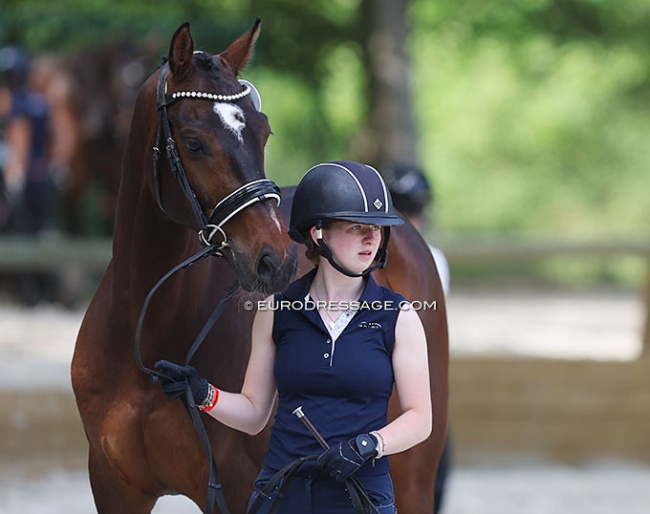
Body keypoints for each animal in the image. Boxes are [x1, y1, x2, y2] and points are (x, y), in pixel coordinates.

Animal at [71, 18, 446, 510]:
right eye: (194, 142)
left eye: (263, 132)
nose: (277, 260)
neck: (146, 337)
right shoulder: (113, 487)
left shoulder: (238, 487)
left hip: (413, 475)